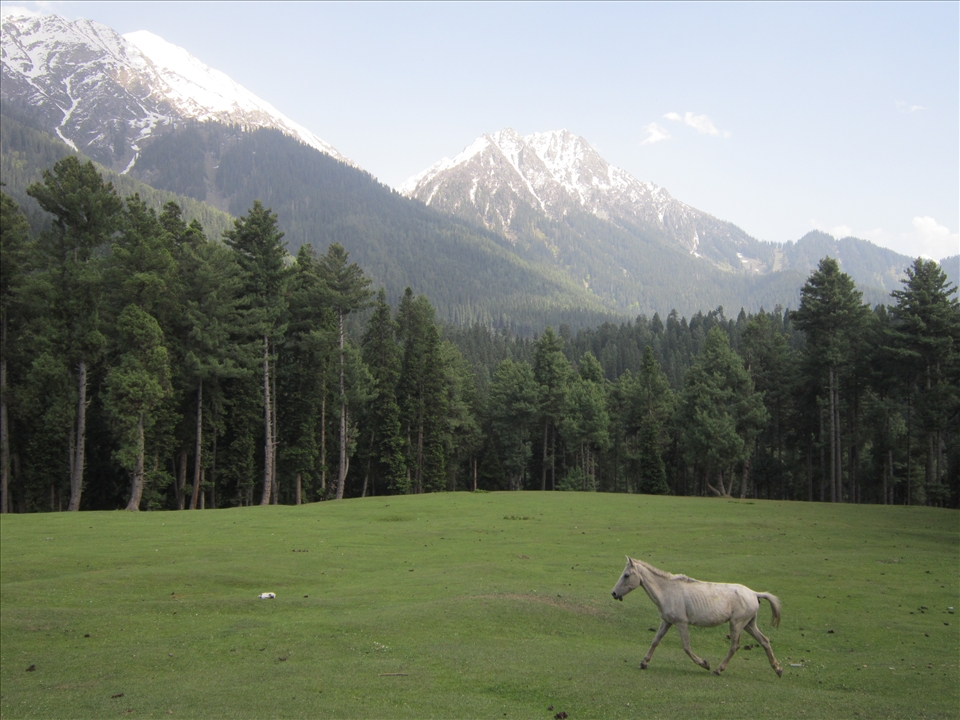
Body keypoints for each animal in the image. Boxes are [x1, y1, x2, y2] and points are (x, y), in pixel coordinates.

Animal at [611, 556, 782, 677]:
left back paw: (718, 670)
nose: (614, 593)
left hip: (737, 624)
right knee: (765, 641)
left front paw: (704, 663)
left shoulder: (682, 623)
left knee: (734, 646)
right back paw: (778, 669)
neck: (668, 590)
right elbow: (655, 641)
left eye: (626, 575)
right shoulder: (667, 622)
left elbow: (686, 647)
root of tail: (754, 593)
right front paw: (644, 663)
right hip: (748, 624)